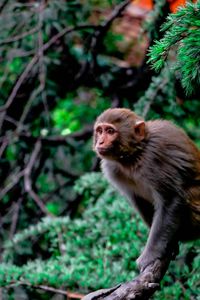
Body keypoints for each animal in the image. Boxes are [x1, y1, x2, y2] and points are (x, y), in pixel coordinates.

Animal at [93, 108, 199, 272]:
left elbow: (171, 199)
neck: (133, 156)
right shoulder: (112, 169)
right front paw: (170, 244)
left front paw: (150, 254)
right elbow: (139, 201)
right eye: (99, 131)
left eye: (110, 131)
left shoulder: (155, 157)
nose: (100, 142)